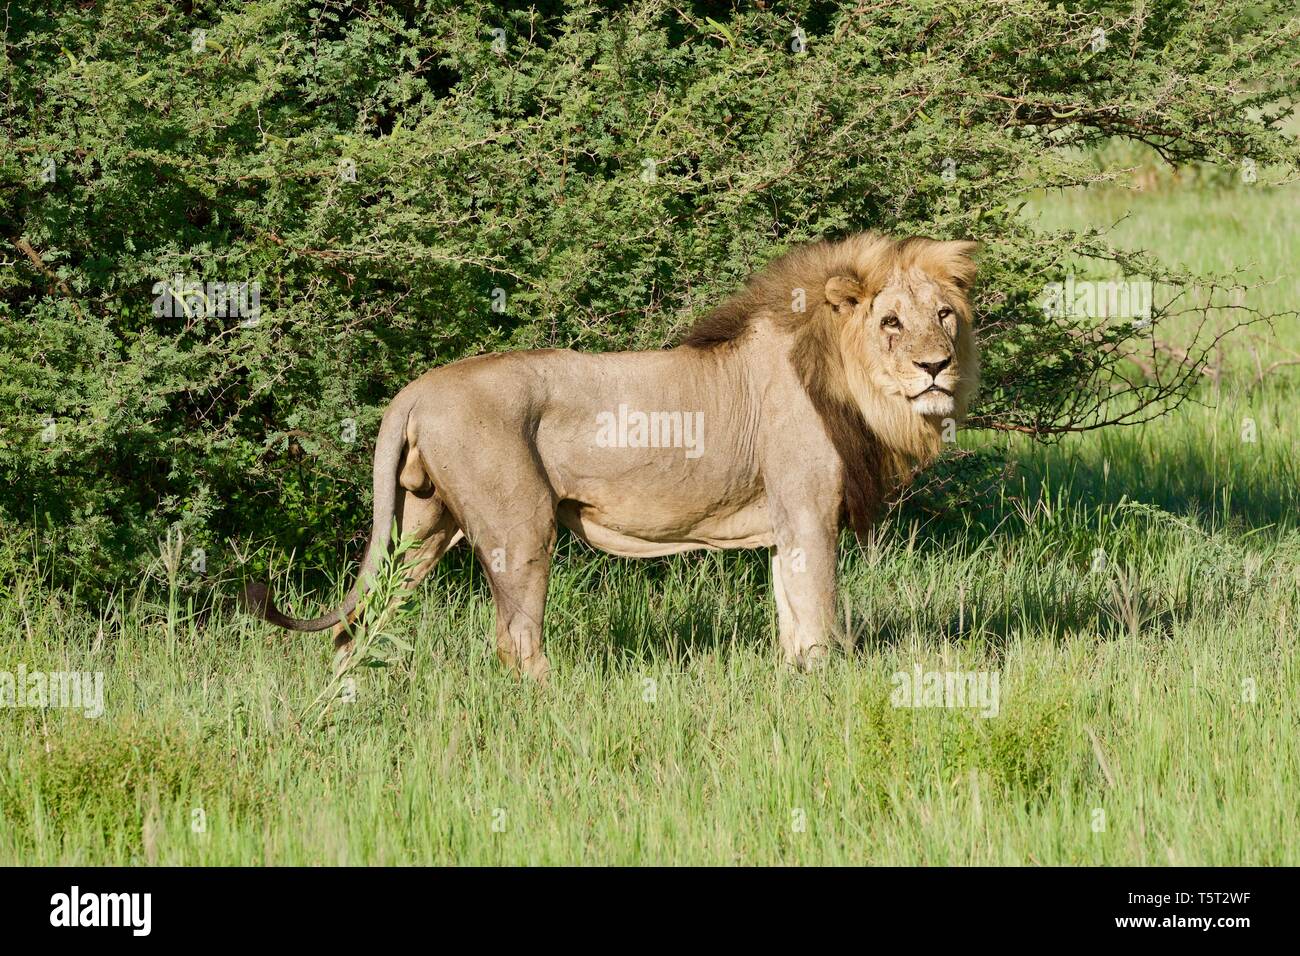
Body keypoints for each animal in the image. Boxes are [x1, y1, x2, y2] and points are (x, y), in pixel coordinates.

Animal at [244, 231, 977, 681]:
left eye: (945, 315)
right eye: (890, 323)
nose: (936, 366)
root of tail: (416, 389)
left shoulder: (786, 526)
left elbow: (793, 618)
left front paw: (793, 681)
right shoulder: (808, 515)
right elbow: (819, 617)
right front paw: (823, 689)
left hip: (419, 526)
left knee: (354, 629)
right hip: (519, 527)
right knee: (516, 640)